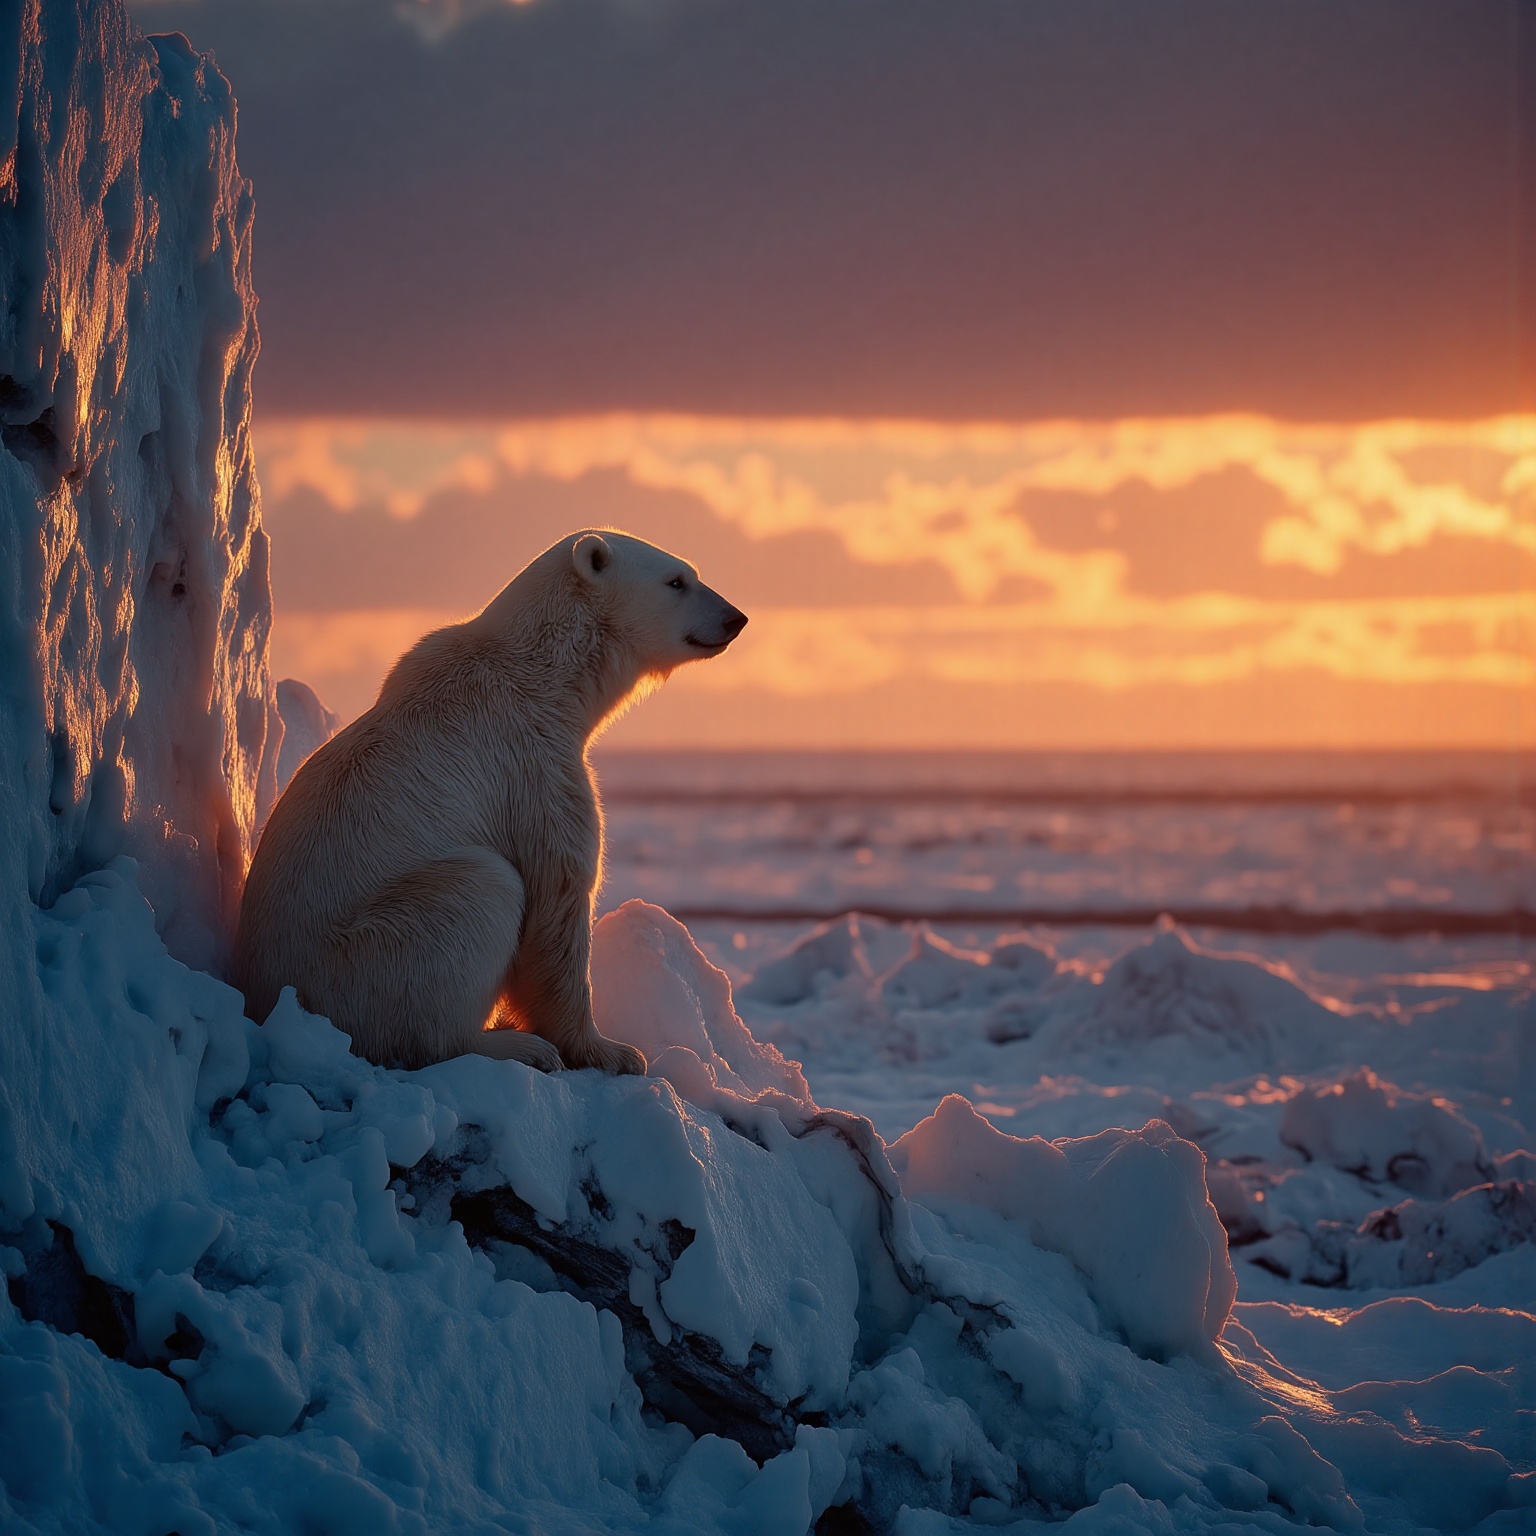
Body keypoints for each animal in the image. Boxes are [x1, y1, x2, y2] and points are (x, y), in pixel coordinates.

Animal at [233, 529, 747, 1075]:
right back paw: (513, 1046)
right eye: (677, 580)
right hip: (366, 957)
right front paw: (610, 1050)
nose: (736, 618)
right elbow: (559, 892)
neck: (543, 673)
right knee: (483, 890)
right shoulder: (533, 764)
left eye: (689, 572)